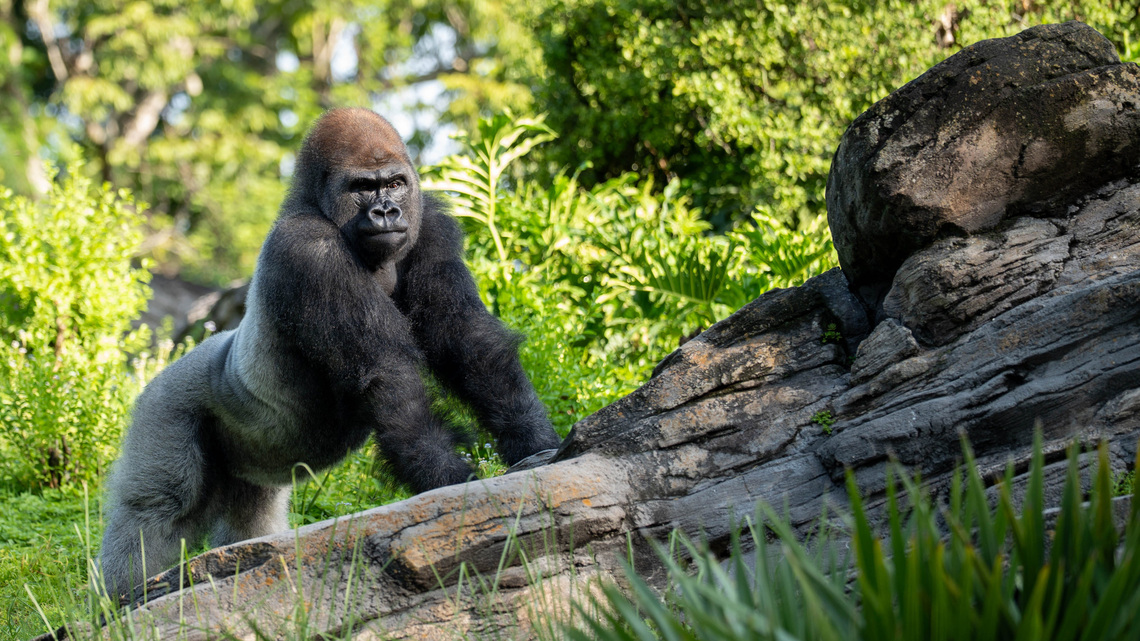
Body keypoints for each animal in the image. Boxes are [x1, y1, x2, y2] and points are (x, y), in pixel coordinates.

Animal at [98, 108, 561, 598]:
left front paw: (536, 443)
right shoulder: (308, 249)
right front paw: (451, 482)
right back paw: (121, 597)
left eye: (395, 183)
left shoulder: (431, 226)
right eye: (362, 187)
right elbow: (389, 376)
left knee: (250, 522)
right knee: (159, 507)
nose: (386, 211)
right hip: (164, 404)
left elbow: (467, 340)